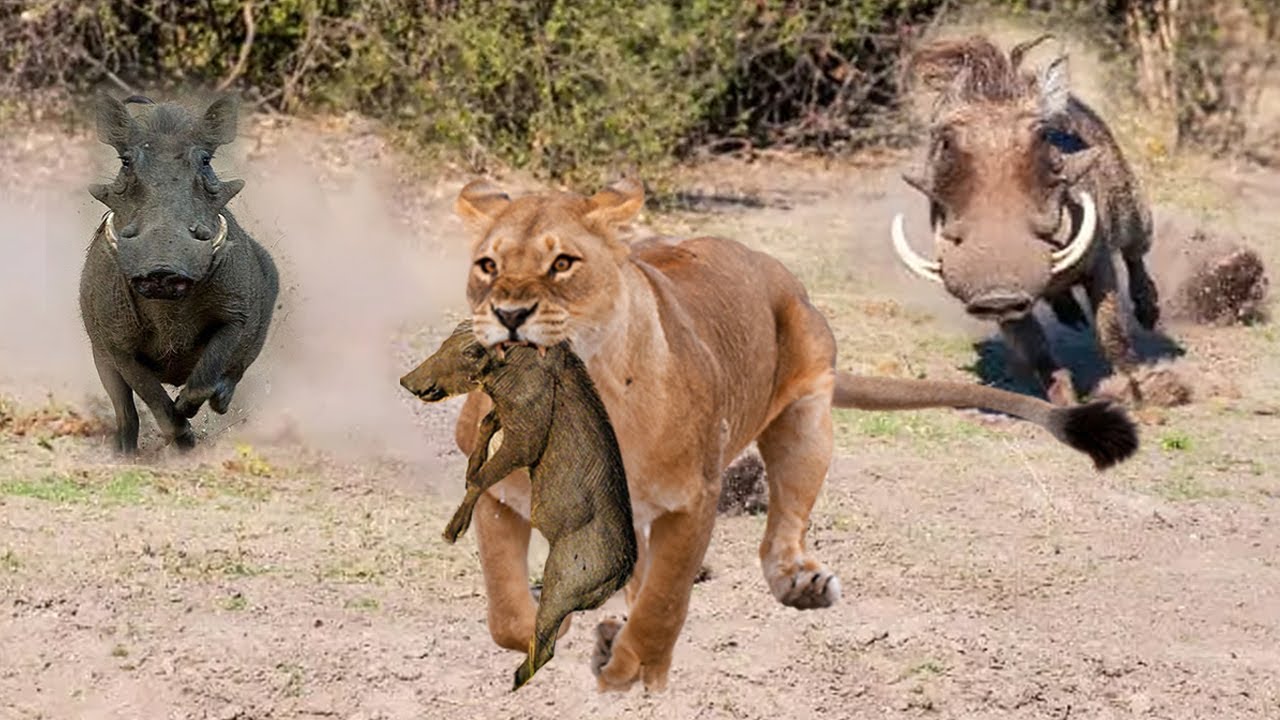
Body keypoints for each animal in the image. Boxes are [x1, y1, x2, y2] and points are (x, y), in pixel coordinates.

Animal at [448, 177, 1138, 692]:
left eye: (563, 263)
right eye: (487, 265)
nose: (508, 313)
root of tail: (781, 274)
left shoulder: (694, 497)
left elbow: (662, 605)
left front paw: (628, 661)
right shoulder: (498, 494)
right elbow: (505, 611)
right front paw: (554, 628)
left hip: (807, 422)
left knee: (785, 523)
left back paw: (797, 584)